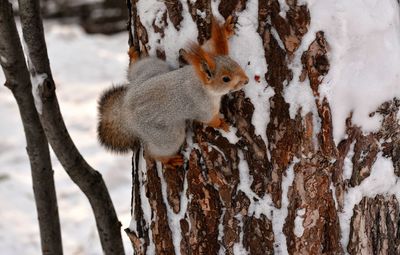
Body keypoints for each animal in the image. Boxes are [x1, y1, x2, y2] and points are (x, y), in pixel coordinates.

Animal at [97, 15, 247, 167]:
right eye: (226, 79)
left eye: (236, 63)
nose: (246, 80)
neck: (200, 82)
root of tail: (125, 111)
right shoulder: (203, 107)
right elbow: (209, 120)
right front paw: (221, 123)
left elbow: (207, 47)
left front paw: (226, 30)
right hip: (166, 135)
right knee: (158, 150)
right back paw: (168, 160)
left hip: (152, 69)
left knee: (134, 73)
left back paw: (134, 58)